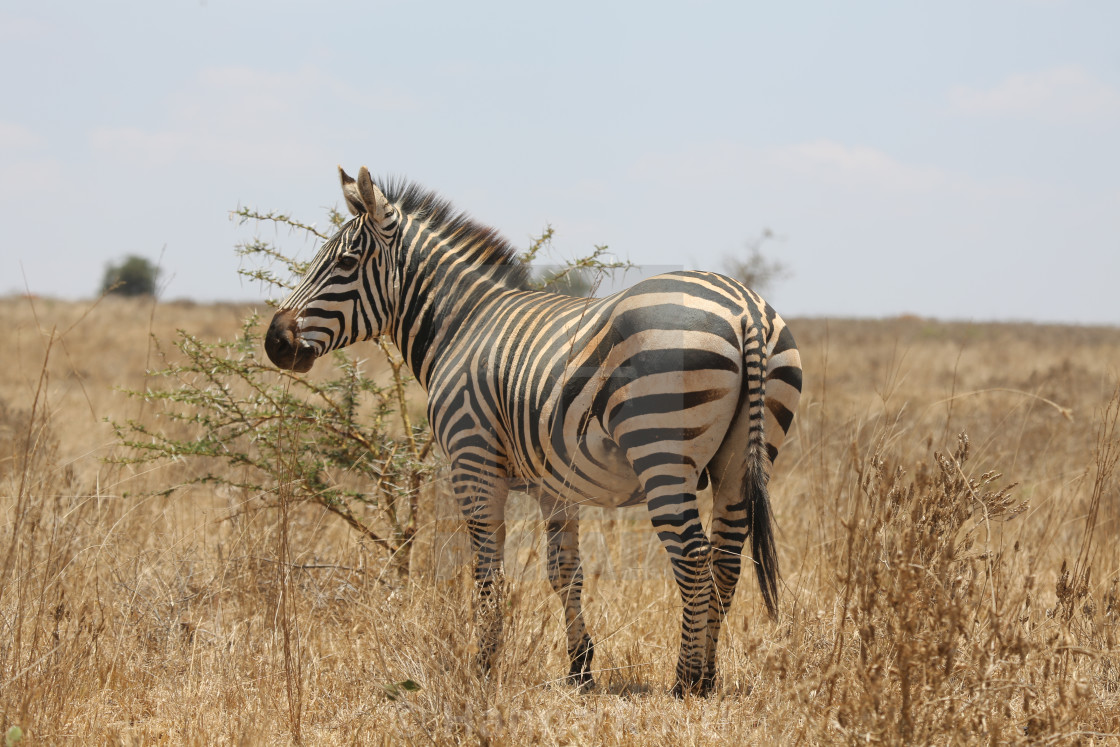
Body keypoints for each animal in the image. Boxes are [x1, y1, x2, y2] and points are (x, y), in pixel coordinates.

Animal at [265, 166, 801, 698]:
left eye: (346, 262)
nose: (275, 342)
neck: (462, 325)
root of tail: (745, 308)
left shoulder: (472, 459)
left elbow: (486, 571)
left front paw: (483, 667)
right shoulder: (555, 484)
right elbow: (564, 572)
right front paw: (580, 669)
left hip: (661, 451)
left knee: (693, 557)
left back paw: (685, 682)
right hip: (740, 460)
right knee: (725, 560)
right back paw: (708, 676)